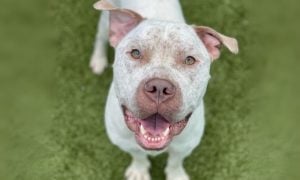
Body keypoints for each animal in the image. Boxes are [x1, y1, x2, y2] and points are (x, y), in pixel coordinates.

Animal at [90, 0, 238, 179]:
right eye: (135, 53)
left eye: (189, 60)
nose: (159, 87)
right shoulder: (124, 142)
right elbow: (138, 155)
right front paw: (139, 170)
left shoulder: (186, 145)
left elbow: (175, 161)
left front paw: (176, 175)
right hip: (106, 22)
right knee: (100, 37)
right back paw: (98, 59)